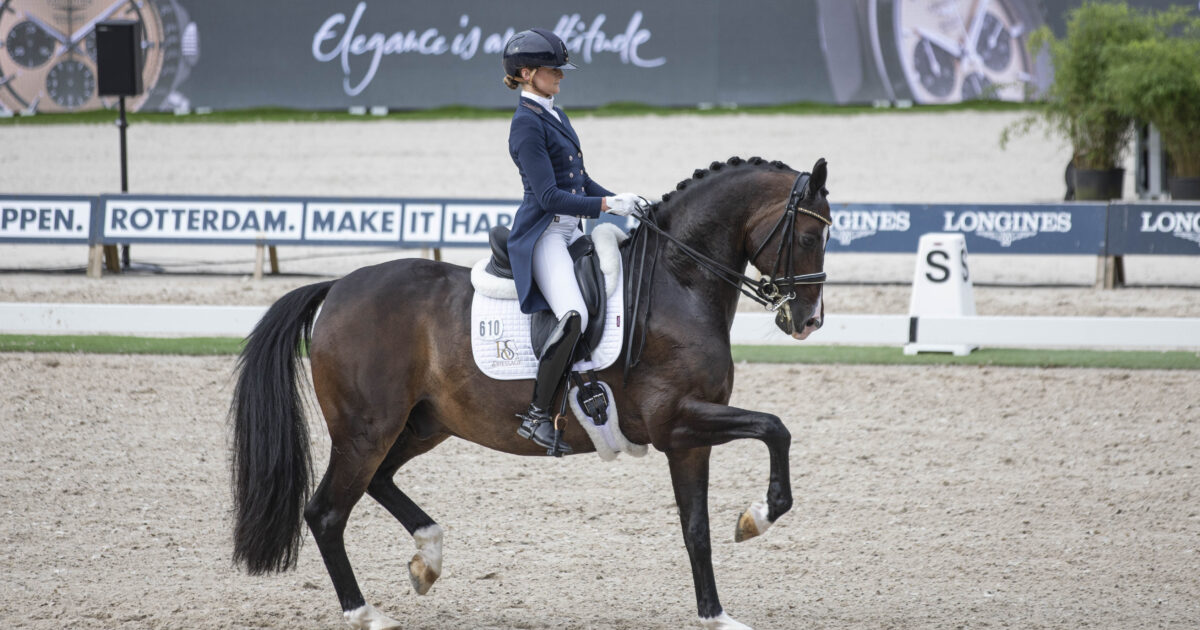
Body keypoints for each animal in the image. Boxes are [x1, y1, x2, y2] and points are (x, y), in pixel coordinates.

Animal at [230, 155, 832, 630]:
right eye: (807, 237)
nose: (807, 322)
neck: (677, 281)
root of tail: (338, 287)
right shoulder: (677, 423)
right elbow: (775, 428)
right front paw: (760, 516)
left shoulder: (689, 438)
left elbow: (696, 528)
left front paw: (717, 614)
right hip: (366, 431)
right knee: (327, 513)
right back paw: (367, 614)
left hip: (422, 424)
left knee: (378, 481)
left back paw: (428, 559)